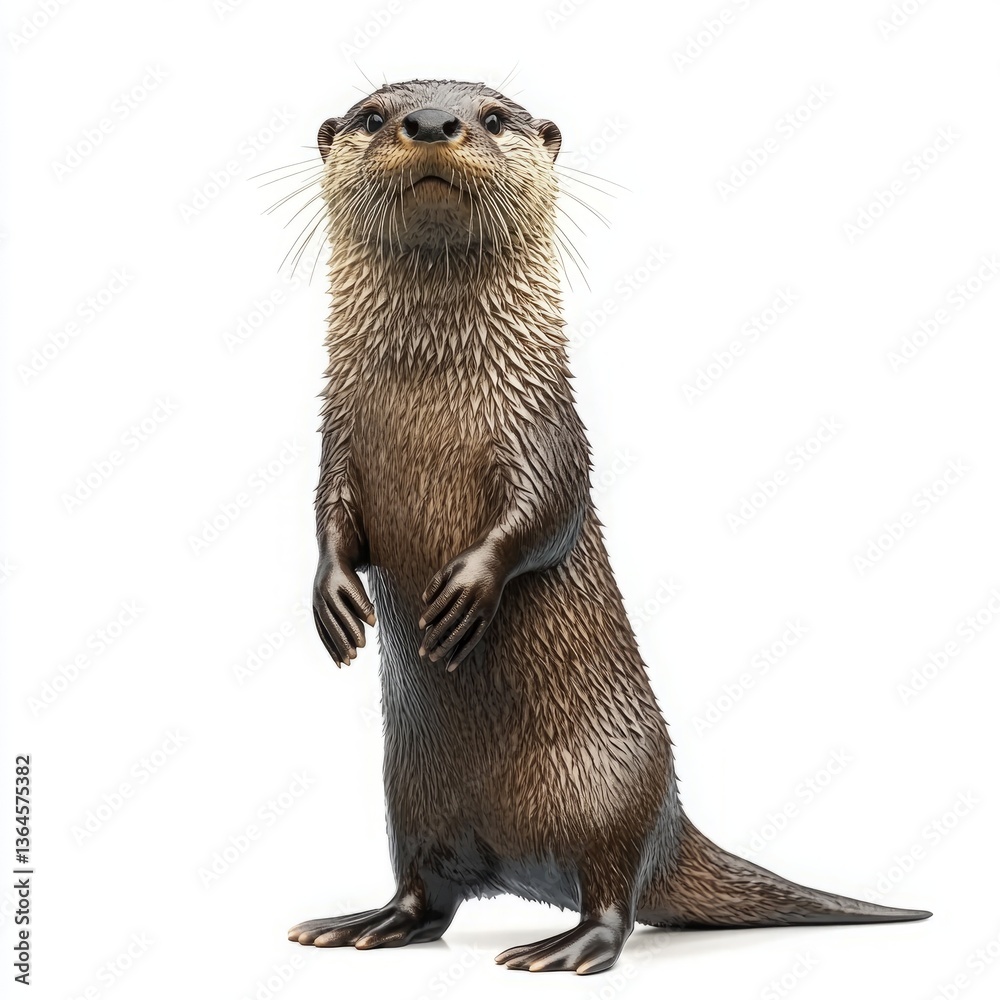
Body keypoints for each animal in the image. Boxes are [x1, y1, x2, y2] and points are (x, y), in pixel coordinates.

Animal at [286, 79, 930, 975]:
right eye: (374, 116)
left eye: (493, 117)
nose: (432, 122)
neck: (433, 384)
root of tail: (671, 820)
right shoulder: (336, 436)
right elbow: (326, 513)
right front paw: (333, 598)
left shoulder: (546, 429)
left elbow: (545, 514)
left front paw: (466, 592)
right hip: (406, 799)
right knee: (428, 892)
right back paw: (367, 923)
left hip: (607, 788)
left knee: (614, 890)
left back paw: (565, 946)